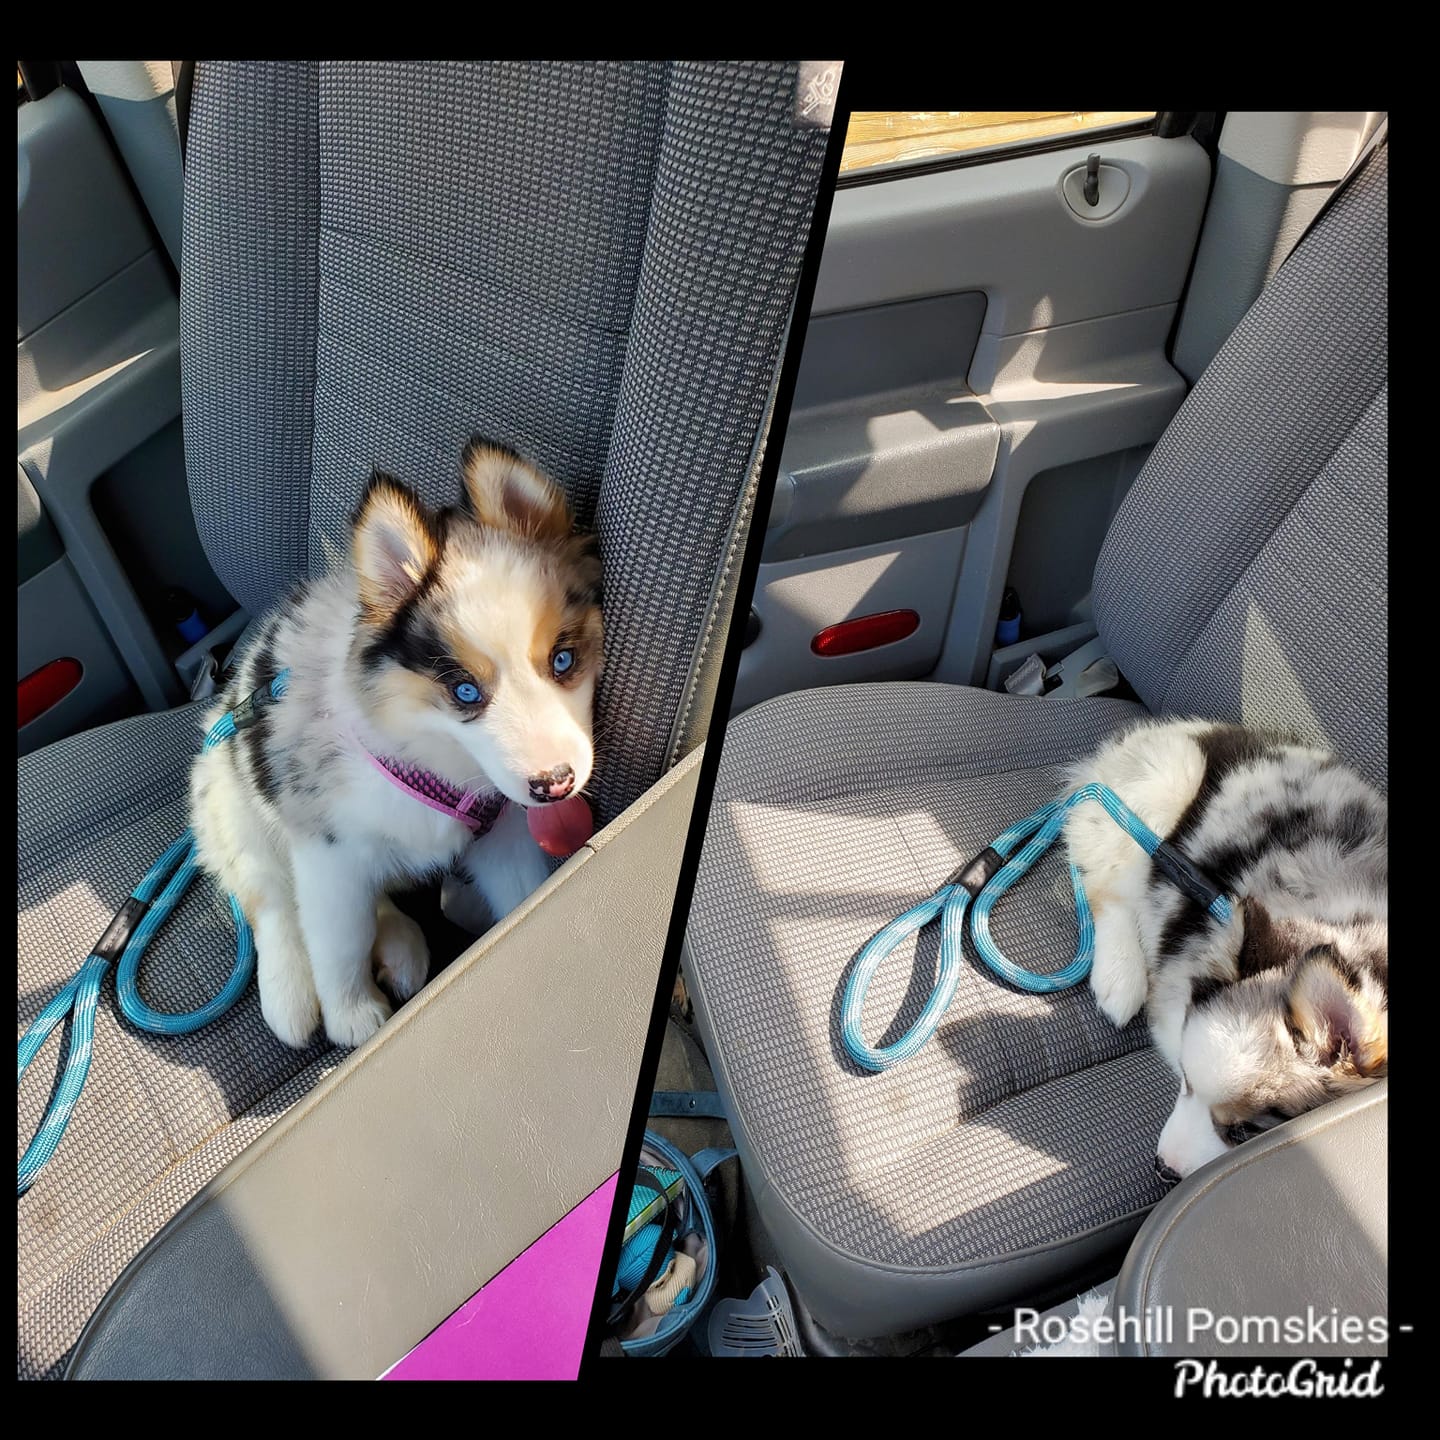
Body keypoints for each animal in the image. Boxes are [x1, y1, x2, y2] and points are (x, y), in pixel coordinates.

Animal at [190, 437, 603, 1049]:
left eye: (563, 659)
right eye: (464, 690)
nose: (555, 785)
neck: (425, 758)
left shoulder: (504, 837)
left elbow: (523, 897)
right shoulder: (328, 851)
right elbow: (340, 942)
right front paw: (351, 1014)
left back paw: (401, 944)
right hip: (230, 806)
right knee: (269, 897)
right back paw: (290, 993)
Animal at [1063, 719, 1387, 1180]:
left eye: (1243, 1132)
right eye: (1184, 1079)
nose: (1163, 1169)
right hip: (1151, 799)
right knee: (1104, 886)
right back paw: (1119, 981)